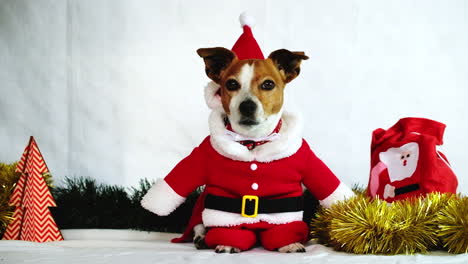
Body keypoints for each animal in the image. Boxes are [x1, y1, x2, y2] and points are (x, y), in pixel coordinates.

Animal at [141, 13, 352, 253]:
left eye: (268, 84)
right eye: (231, 84)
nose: (247, 105)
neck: (252, 142)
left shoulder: (305, 159)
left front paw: (289, 243)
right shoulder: (203, 156)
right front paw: (226, 241)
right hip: (203, 204)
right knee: (199, 224)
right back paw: (202, 237)